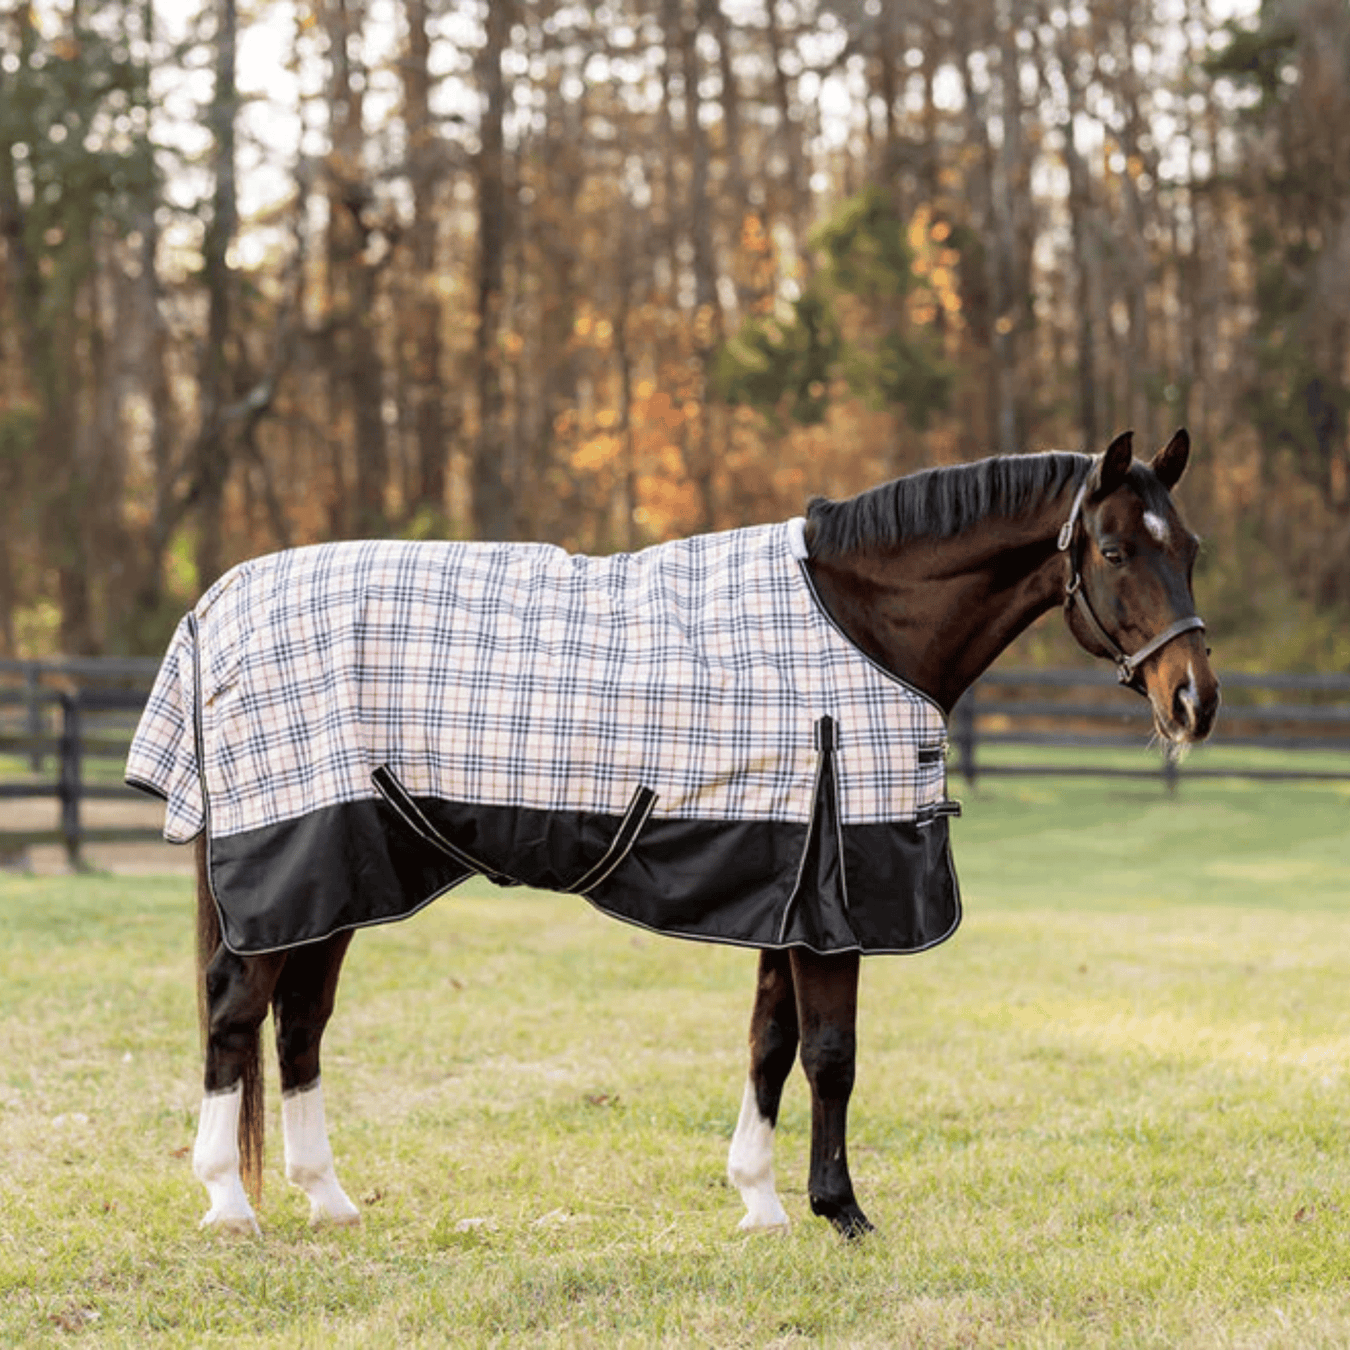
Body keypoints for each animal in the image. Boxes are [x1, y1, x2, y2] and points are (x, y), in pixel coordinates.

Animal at [126, 428, 1218, 1238]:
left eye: (1192, 550)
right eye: (1114, 551)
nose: (1195, 702)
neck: (862, 625)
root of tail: (214, 606)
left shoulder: (791, 884)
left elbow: (770, 1045)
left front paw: (762, 1203)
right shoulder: (836, 896)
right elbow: (832, 1054)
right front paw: (842, 1213)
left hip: (340, 875)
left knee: (300, 1024)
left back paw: (327, 1198)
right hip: (287, 863)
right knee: (235, 1015)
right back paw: (229, 1204)